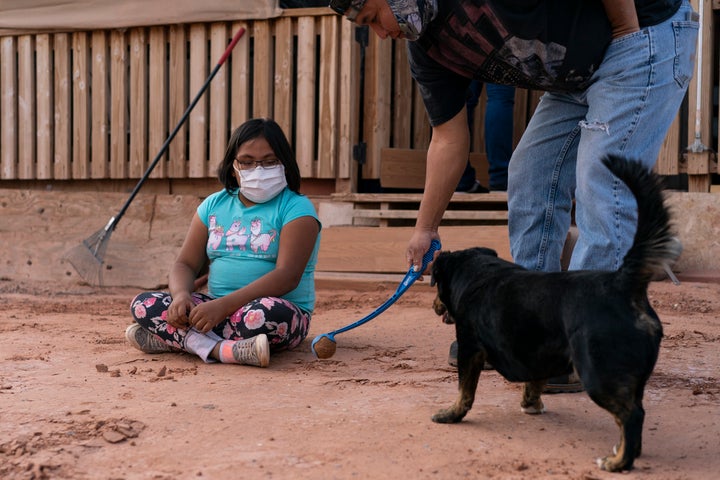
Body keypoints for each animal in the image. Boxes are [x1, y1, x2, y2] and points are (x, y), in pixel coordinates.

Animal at [430, 155, 676, 472]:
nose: (435, 305)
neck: (478, 271)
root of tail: (622, 283)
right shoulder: (537, 354)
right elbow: (534, 381)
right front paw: (531, 404)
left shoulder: (470, 349)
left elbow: (465, 391)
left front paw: (451, 414)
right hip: (628, 379)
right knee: (636, 412)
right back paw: (628, 451)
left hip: (598, 373)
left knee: (632, 415)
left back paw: (618, 462)